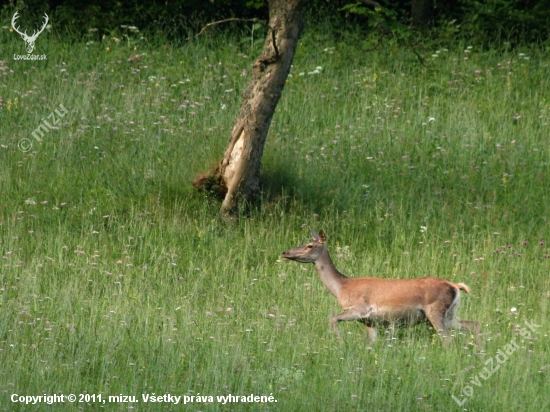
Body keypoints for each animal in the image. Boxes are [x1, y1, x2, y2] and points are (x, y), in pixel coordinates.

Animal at [284, 230, 484, 346]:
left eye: (309, 245)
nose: (285, 252)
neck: (342, 288)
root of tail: (455, 286)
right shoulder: (370, 321)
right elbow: (371, 344)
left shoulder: (360, 309)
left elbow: (332, 318)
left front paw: (340, 344)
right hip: (449, 314)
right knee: (474, 324)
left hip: (435, 310)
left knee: (447, 339)